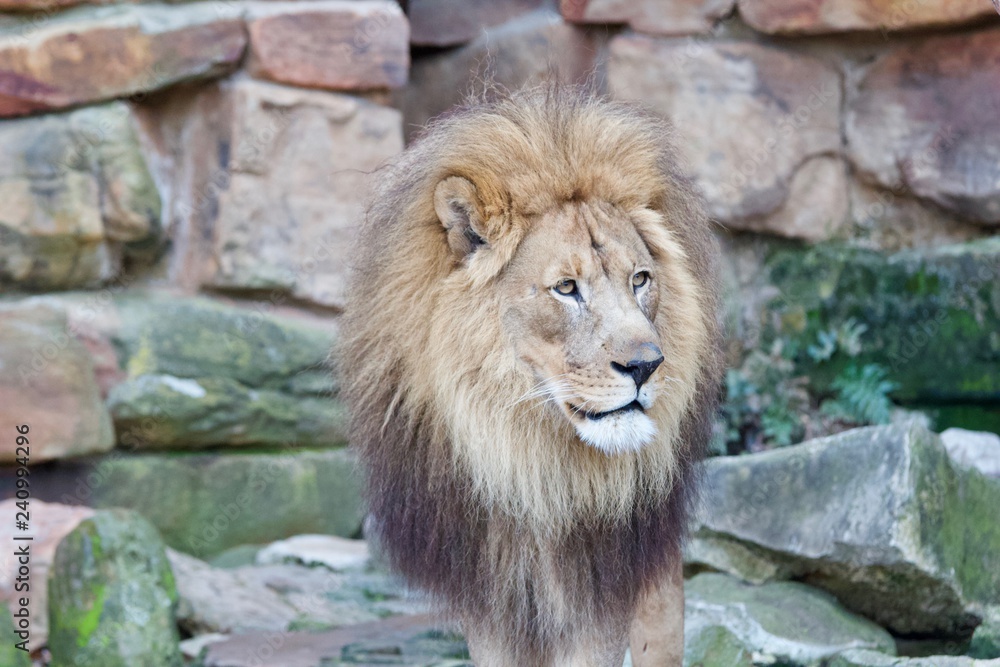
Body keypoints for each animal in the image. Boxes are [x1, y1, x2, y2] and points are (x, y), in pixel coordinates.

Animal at [340, 85, 722, 666]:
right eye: (566, 288)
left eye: (640, 279)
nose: (646, 366)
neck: (534, 465)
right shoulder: (489, 602)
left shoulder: (600, 598)